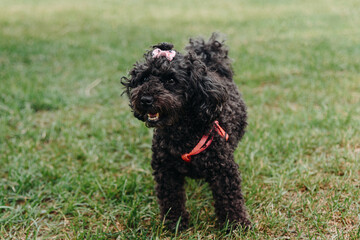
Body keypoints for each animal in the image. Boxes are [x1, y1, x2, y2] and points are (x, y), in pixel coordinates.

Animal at [121, 32, 250, 230]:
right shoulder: (166, 171)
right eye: (143, 79)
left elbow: (230, 198)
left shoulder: (223, 169)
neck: (181, 133)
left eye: (171, 80)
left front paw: (236, 225)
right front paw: (174, 224)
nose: (145, 99)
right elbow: (171, 199)